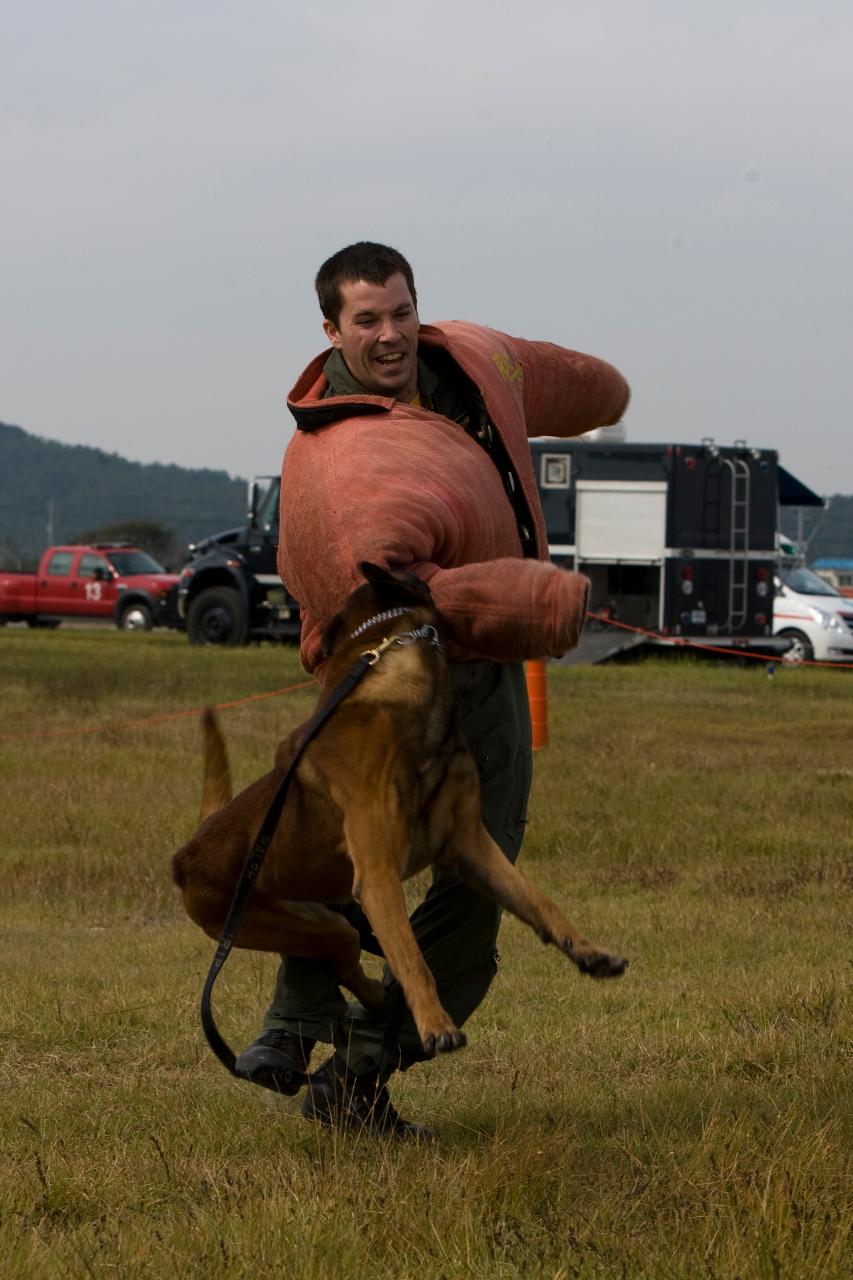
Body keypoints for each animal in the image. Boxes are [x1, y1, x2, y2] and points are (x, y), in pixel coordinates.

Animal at [172, 565, 625, 1054]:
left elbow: (537, 900)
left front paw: (589, 952)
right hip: (292, 923)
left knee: (344, 962)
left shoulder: (472, 844)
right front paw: (435, 1025)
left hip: (319, 918)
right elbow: (413, 958)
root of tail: (186, 856)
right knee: (344, 964)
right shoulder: (378, 874)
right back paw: (377, 1004)